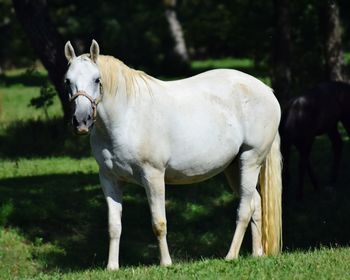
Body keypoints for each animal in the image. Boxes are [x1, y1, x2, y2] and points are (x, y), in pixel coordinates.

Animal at [63, 40, 282, 272]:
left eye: (97, 79)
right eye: (67, 81)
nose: (81, 121)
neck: (126, 117)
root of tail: (266, 90)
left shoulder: (153, 176)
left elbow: (159, 223)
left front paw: (166, 263)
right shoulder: (109, 179)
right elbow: (114, 226)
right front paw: (112, 267)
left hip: (250, 160)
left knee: (245, 209)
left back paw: (230, 256)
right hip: (234, 167)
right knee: (255, 203)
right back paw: (257, 254)